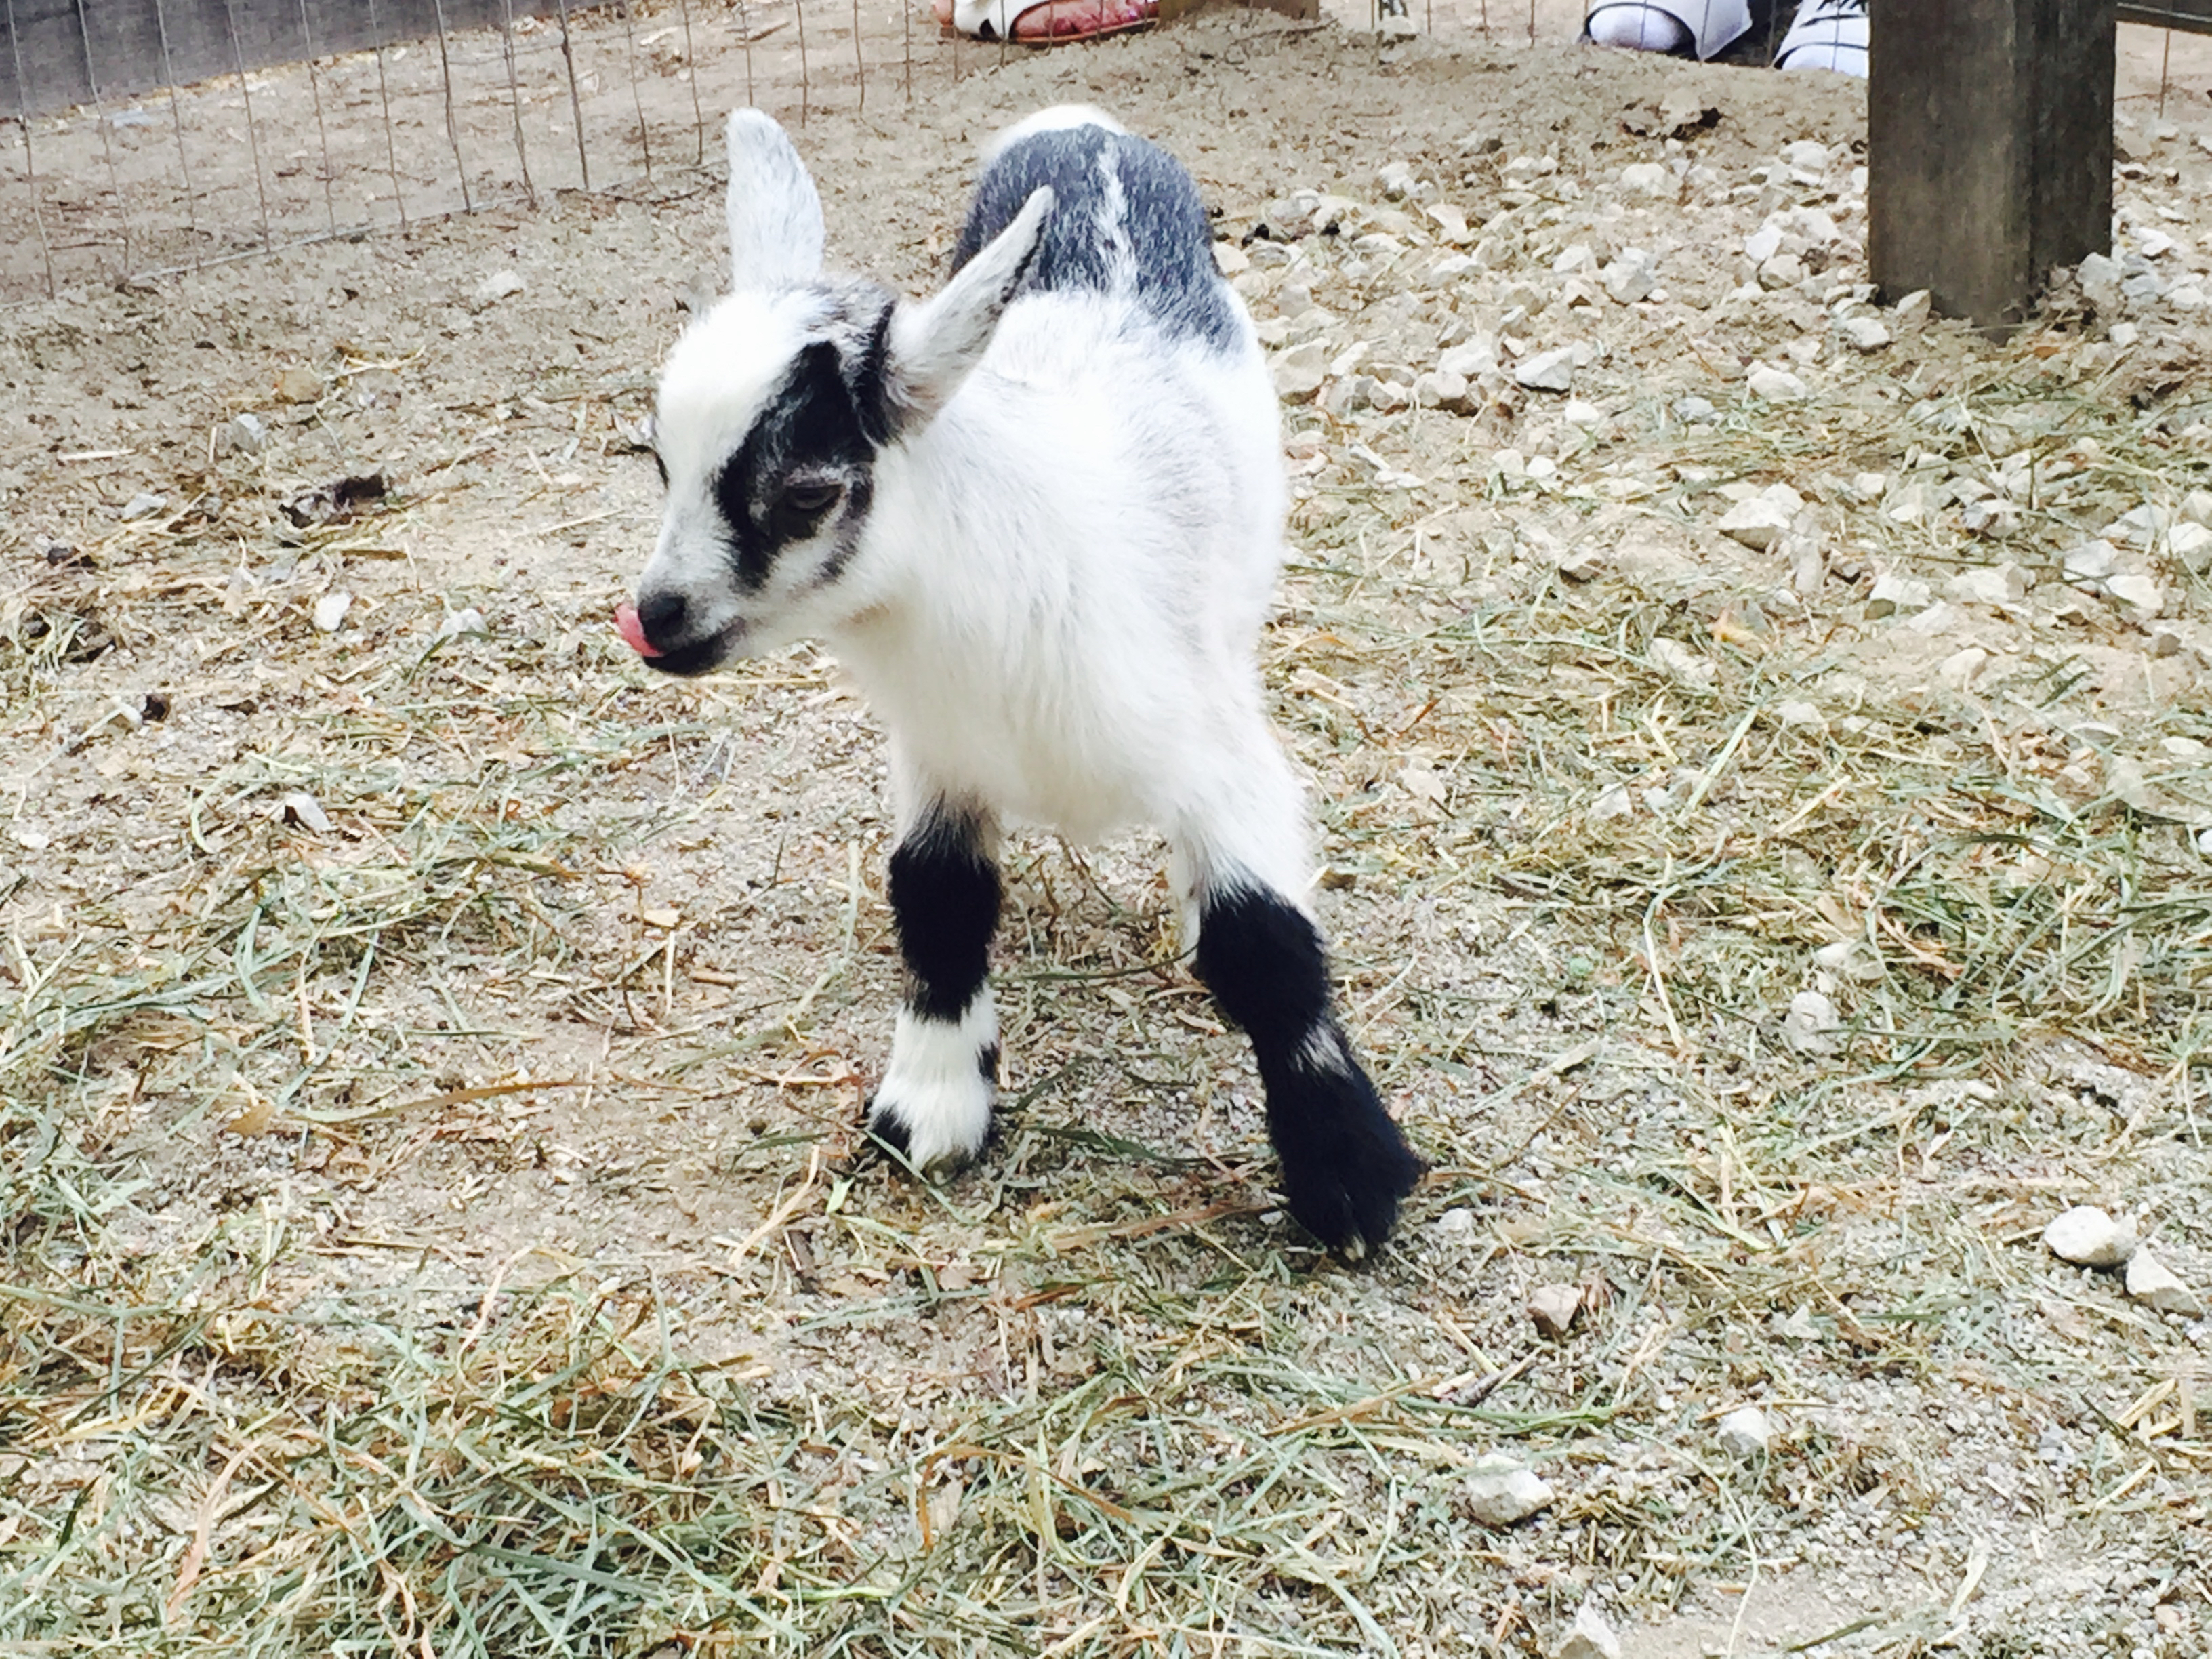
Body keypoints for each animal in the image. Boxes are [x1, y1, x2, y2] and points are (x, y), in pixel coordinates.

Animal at [617, 106, 1425, 1255]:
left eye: (808, 492)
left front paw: (1348, 1175)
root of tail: (1080, 127)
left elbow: (1264, 947)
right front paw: (932, 1107)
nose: (656, 621)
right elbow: (938, 897)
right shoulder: (941, 758)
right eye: (659, 463)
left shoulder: (1218, 754)